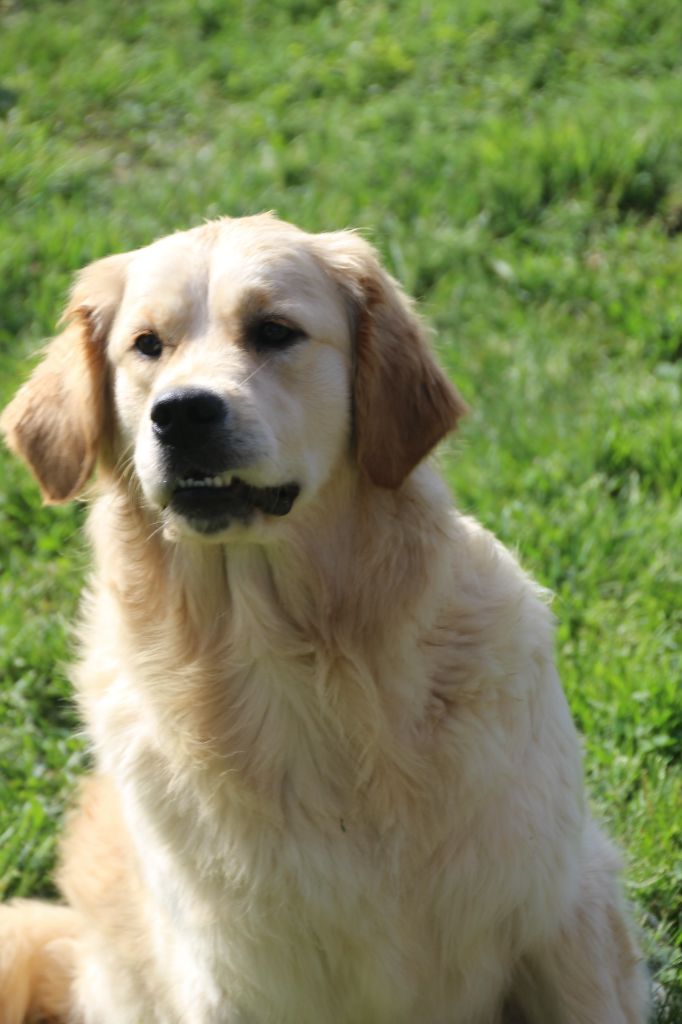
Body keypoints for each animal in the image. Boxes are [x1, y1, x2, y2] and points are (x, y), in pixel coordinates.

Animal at [0, 216, 647, 1024]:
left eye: (275, 331)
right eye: (147, 345)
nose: (180, 412)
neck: (286, 665)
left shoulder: (559, 914)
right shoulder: (228, 981)